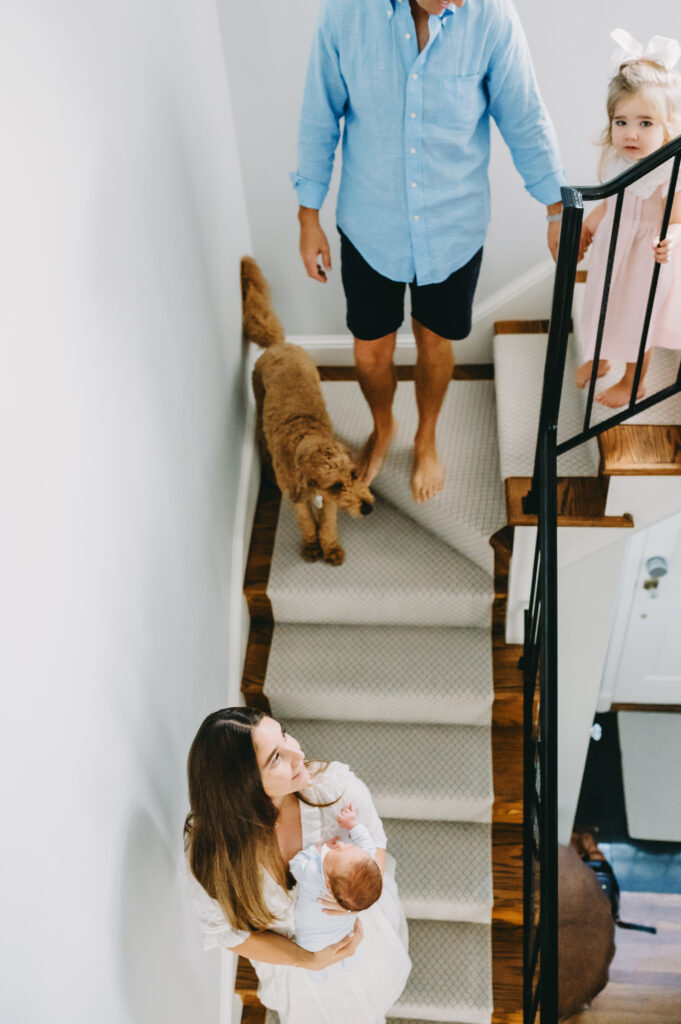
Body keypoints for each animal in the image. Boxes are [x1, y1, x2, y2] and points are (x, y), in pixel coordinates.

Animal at [241, 253, 374, 561]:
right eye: (337, 485)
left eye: (354, 474)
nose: (368, 507)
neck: (305, 439)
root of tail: (278, 345)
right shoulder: (301, 497)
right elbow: (306, 522)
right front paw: (312, 545)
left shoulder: (329, 502)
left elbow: (328, 523)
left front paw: (331, 547)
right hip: (259, 399)